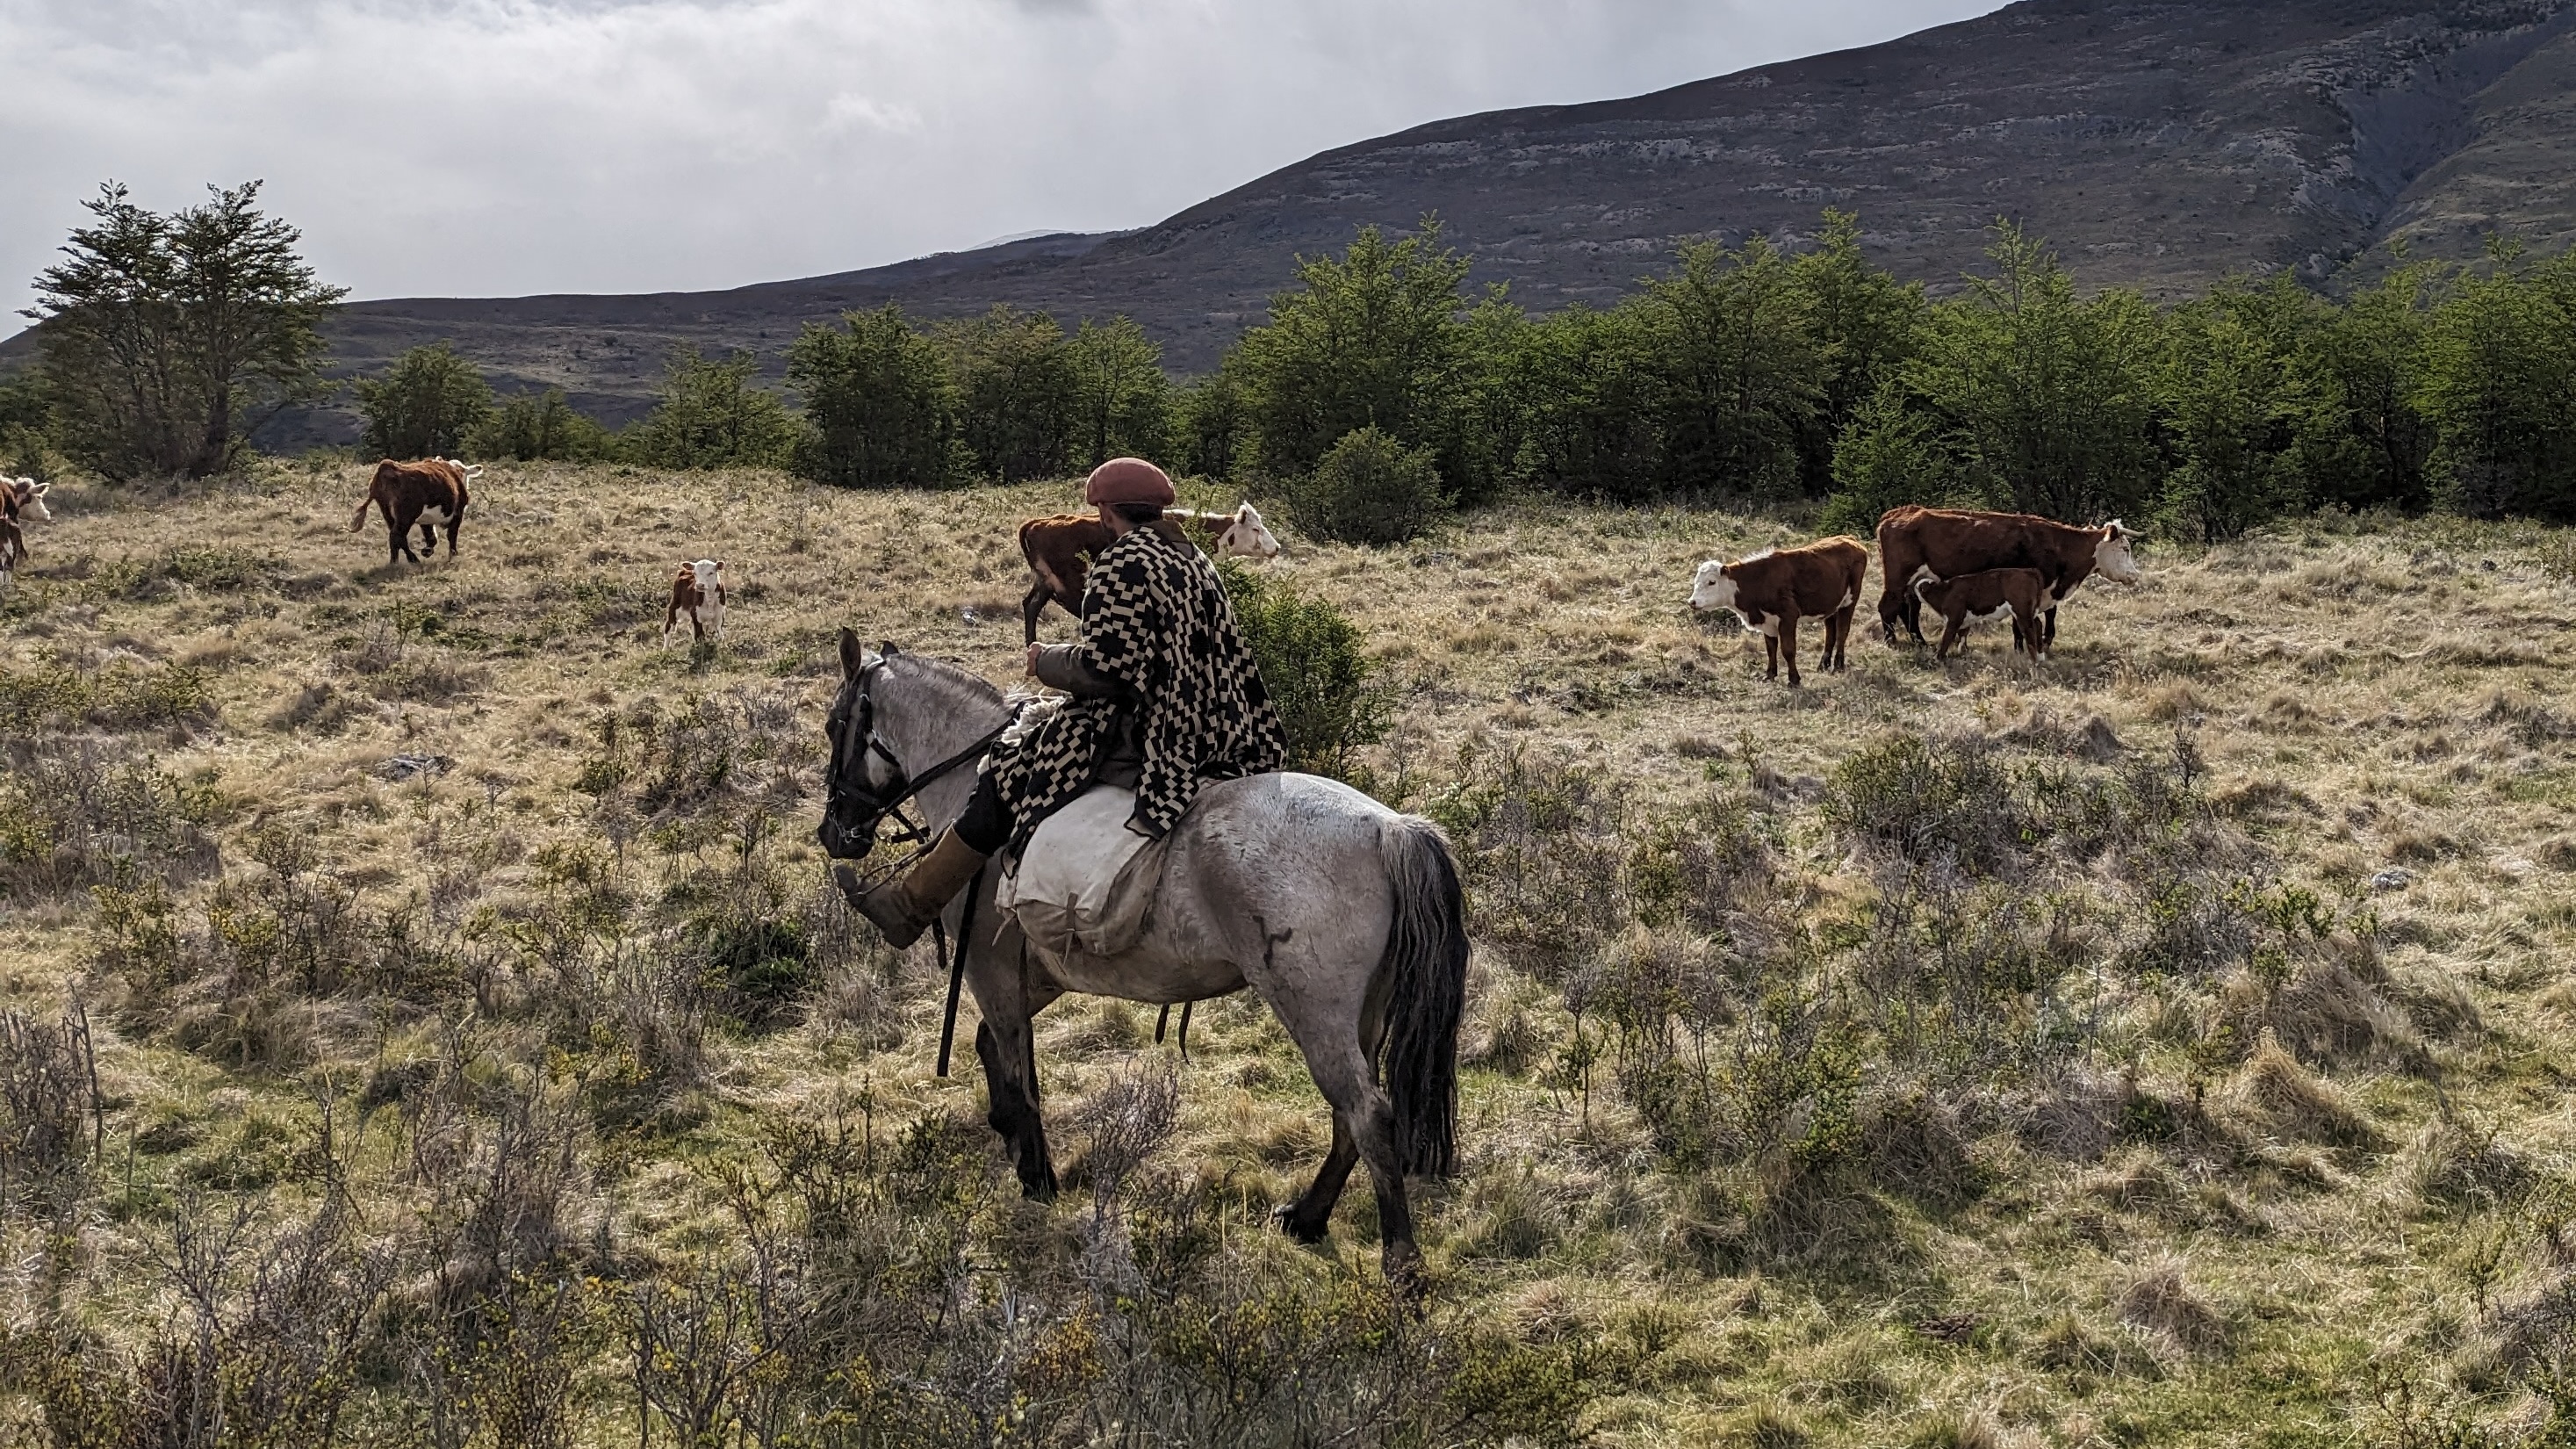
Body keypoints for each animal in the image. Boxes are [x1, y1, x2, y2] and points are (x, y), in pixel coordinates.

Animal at [815, 629, 1467, 1282]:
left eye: (833, 724)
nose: (833, 833)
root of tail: (1389, 829)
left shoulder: (987, 967)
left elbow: (1018, 1066)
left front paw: (1038, 1176)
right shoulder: (1040, 972)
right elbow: (993, 1047)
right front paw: (1013, 1141)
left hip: (1314, 1012)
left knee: (1366, 1113)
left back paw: (1398, 1262)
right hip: (1364, 1015)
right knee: (1351, 1117)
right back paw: (1308, 1218)